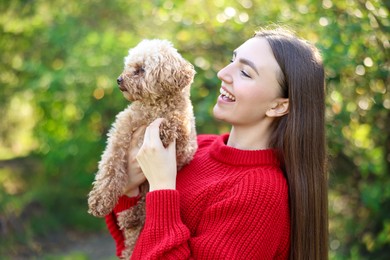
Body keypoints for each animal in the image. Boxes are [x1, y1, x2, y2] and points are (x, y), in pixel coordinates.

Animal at [88, 39, 198, 258]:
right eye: (129, 66)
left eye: (140, 69)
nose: (119, 79)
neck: (153, 107)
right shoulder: (119, 136)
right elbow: (110, 168)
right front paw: (100, 200)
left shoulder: (185, 147)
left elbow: (176, 122)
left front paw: (165, 127)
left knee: (145, 204)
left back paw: (131, 216)